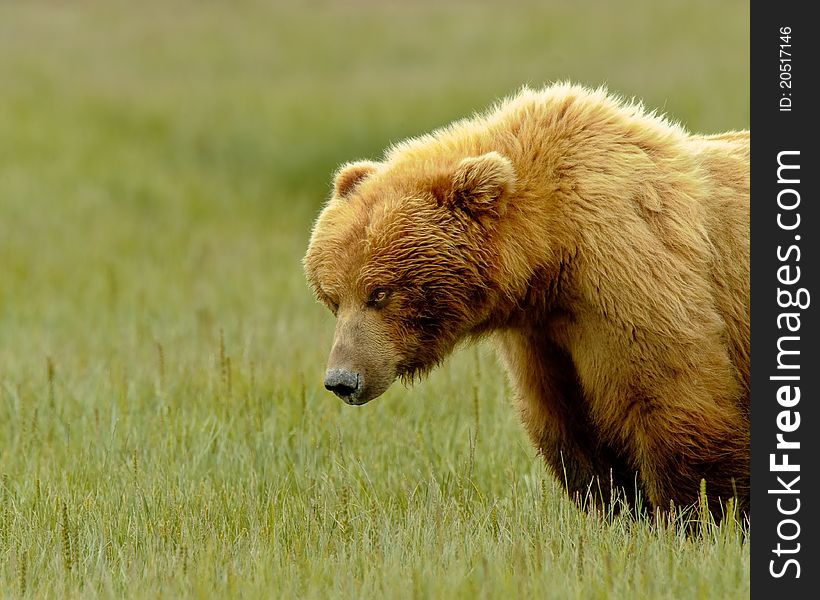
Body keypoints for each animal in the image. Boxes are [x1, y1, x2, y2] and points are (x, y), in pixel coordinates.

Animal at [302, 83, 748, 516]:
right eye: (333, 298)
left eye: (379, 293)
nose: (342, 379)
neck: (553, 247)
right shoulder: (542, 336)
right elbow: (571, 429)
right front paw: (619, 507)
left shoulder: (630, 275)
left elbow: (673, 401)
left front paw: (700, 512)